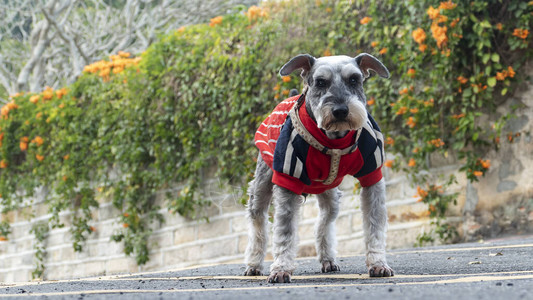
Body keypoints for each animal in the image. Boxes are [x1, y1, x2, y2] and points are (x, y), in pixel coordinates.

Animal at [243, 52, 392, 282]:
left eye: (354, 79)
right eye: (321, 82)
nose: (340, 110)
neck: (333, 139)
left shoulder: (372, 175)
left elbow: (374, 226)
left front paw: (378, 264)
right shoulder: (287, 180)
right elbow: (284, 231)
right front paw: (281, 268)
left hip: (330, 195)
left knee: (323, 222)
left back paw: (328, 259)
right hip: (262, 185)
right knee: (257, 220)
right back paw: (253, 264)